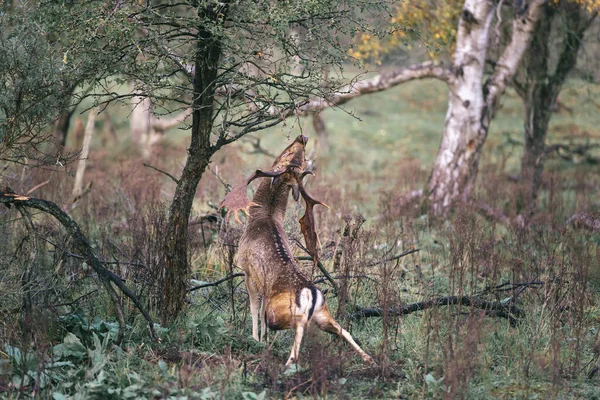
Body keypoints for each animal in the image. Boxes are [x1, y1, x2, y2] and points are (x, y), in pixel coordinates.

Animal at [218, 136, 372, 368]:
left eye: (287, 155)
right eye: (294, 156)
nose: (302, 137)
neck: (265, 217)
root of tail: (312, 292)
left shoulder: (246, 270)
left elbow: (255, 309)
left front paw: (255, 339)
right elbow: (260, 311)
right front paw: (264, 340)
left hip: (281, 311)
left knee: (298, 323)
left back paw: (290, 361)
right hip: (323, 314)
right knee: (342, 329)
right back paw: (368, 358)